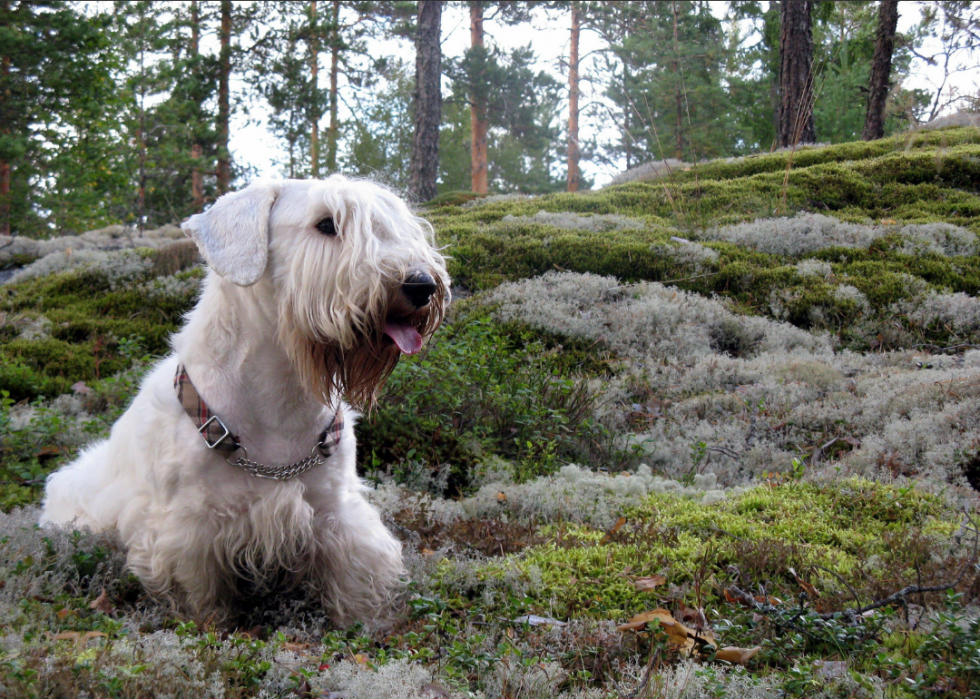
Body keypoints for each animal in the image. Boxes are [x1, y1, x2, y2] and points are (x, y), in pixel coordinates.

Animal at [39, 178, 452, 628]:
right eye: (326, 224)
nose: (421, 285)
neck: (280, 398)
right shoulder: (186, 529)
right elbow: (199, 595)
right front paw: (210, 626)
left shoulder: (334, 508)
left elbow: (355, 576)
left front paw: (368, 623)